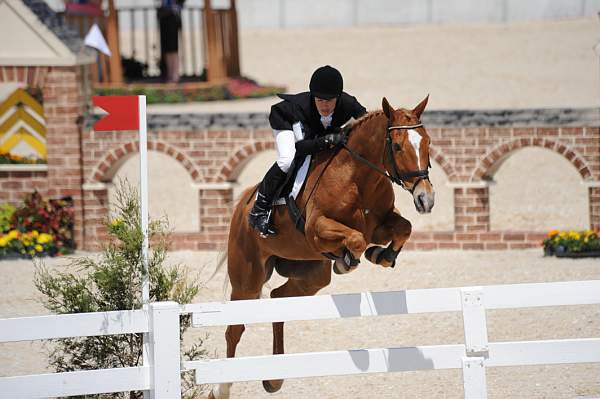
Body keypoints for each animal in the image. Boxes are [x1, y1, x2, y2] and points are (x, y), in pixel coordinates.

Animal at [211, 97, 436, 399]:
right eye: (398, 146)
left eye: (427, 143)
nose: (426, 199)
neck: (358, 177)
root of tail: (242, 206)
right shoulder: (316, 230)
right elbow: (356, 240)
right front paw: (347, 260)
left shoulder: (379, 225)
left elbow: (404, 228)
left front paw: (382, 255)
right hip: (247, 279)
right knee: (235, 328)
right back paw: (221, 388)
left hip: (312, 276)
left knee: (279, 299)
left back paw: (275, 378)